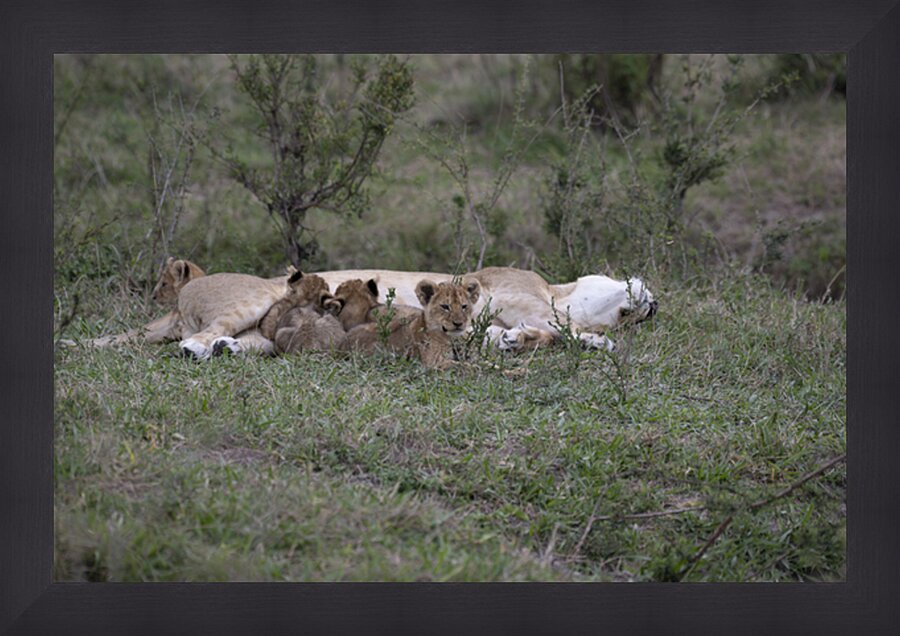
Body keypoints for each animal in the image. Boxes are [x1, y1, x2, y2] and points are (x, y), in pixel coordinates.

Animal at [340, 278, 480, 370]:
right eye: (445, 306)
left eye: (464, 306)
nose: (458, 323)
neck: (451, 338)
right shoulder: (432, 363)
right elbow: (463, 366)